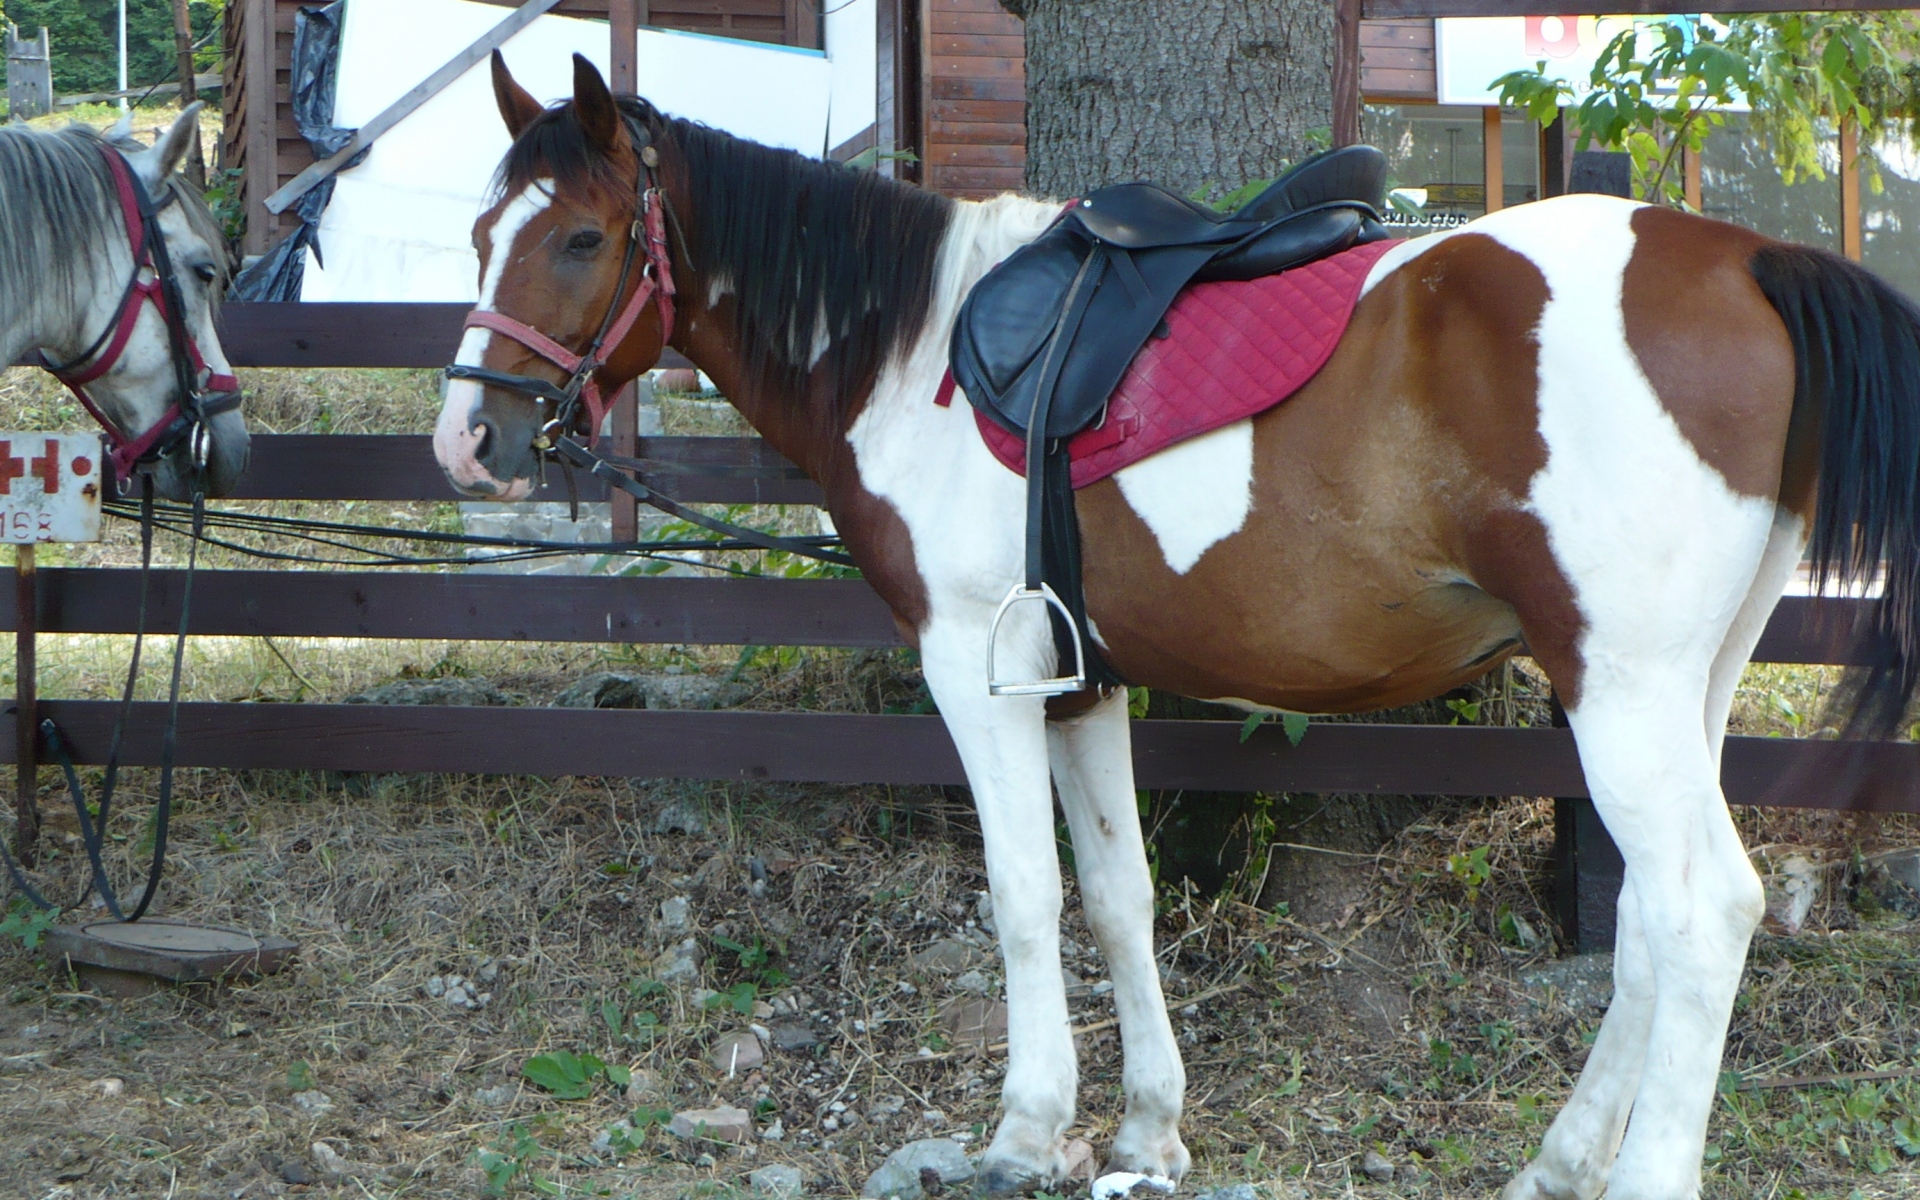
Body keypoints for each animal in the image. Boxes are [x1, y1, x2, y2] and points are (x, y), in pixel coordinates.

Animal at [435, 54, 1920, 1200]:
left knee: (1705, 909)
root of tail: (1748, 258)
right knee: (1656, 929)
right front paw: (1146, 1129)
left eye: (579, 238)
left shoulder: (976, 668)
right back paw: (1558, 1163)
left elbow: (1024, 895)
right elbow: (1118, 894)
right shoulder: (1078, 681)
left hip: (1620, 693)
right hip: (1680, 692)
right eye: (480, 233)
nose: (469, 442)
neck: (917, 350)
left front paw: (1024, 1130)